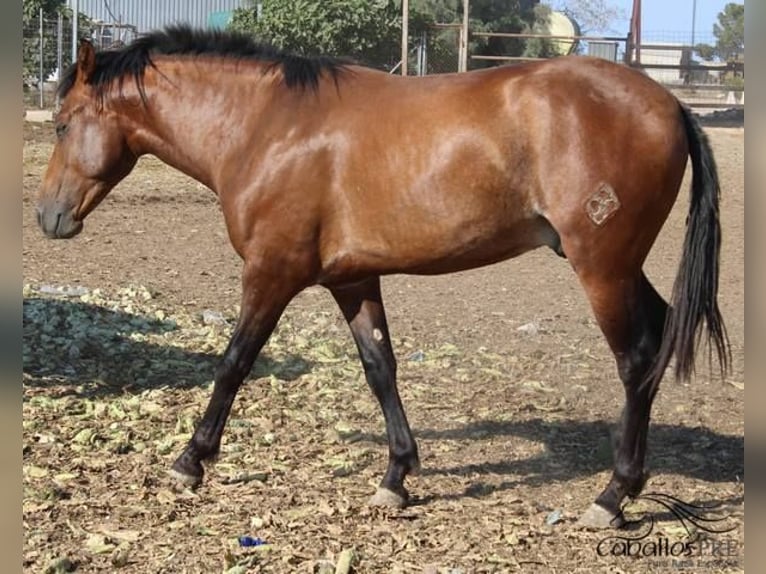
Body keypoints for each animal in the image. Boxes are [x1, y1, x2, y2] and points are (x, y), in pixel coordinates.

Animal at [37, 27, 732, 532]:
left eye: (63, 123)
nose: (48, 217)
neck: (268, 126)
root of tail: (668, 102)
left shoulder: (271, 273)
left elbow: (234, 362)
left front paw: (190, 461)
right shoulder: (353, 280)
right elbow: (380, 369)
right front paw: (397, 476)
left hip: (603, 268)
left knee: (637, 358)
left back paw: (613, 496)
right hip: (621, 268)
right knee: (658, 339)